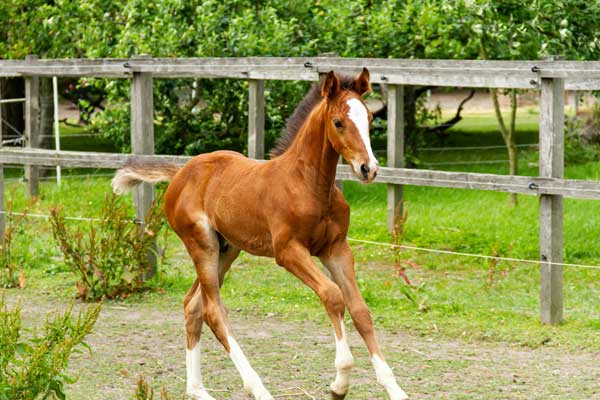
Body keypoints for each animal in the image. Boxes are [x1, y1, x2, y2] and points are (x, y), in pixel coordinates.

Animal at [112, 69, 408, 400]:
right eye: (338, 122)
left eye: (368, 118)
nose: (368, 168)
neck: (308, 184)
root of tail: (180, 174)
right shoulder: (288, 251)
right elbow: (332, 295)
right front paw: (339, 383)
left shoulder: (336, 248)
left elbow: (360, 309)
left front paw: (394, 389)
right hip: (201, 245)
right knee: (214, 311)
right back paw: (258, 388)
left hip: (227, 249)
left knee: (193, 305)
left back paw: (198, 389)